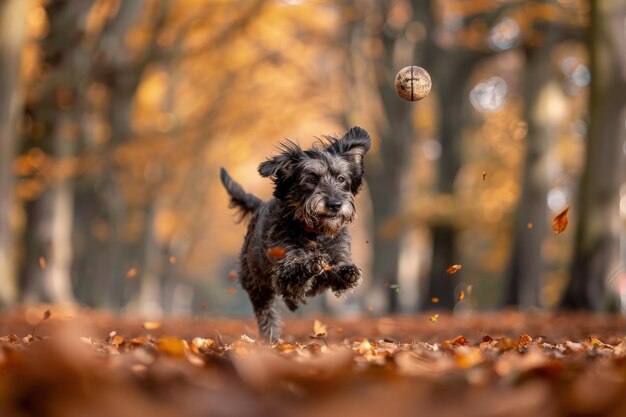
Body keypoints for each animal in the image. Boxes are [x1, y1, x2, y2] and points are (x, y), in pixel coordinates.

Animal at [218, 125, 368, 340]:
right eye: (311, 179)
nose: (335, 204)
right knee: (267, 316)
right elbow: (295, 269)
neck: (315, 232)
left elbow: (336, 269)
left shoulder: (338, 253)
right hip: (257, 287)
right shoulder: (282, 270)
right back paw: (271, 340)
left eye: (341, 179)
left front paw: (346, 271)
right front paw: (312, 261)